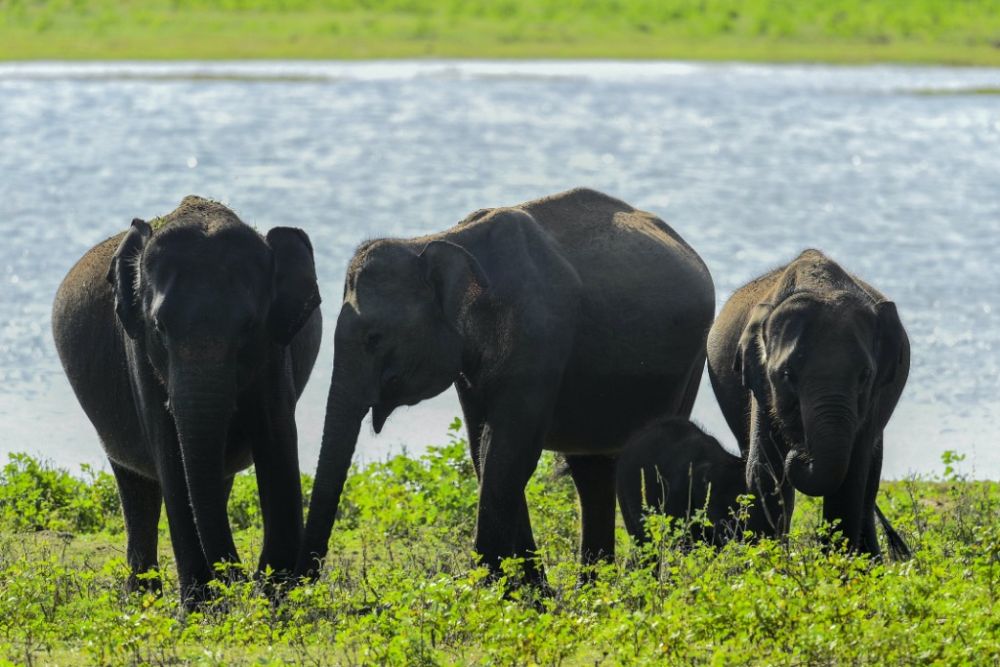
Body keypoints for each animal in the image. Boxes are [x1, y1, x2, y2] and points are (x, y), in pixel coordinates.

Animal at [51, 196, 322, 606]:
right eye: (159, 327)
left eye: (249, 326)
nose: (239, 579)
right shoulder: (139, 352)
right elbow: (169, 453)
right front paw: (199, 608)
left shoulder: (276, 351)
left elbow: (276, 441)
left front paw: (273, 598)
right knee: (136, 486)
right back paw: (142, 600)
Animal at [296, 187, 715, 585]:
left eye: (374, 338)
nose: (301, 583)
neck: (436, 240)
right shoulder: (468, 366)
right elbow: (484, 450)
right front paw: (530, 593)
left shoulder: (540, 339)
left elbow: (509, 451)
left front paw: (494, 590)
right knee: (591, 471)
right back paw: (593, 590)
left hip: (692, 362)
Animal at [706, 249, 909, 557]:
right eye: (787, 374)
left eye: (865, 375)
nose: (800, 451)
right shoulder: (760, 383)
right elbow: (764, 468)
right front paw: (768, 559)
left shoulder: (874, 395)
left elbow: (851, 476)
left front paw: (841, 565)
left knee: (869, 479)